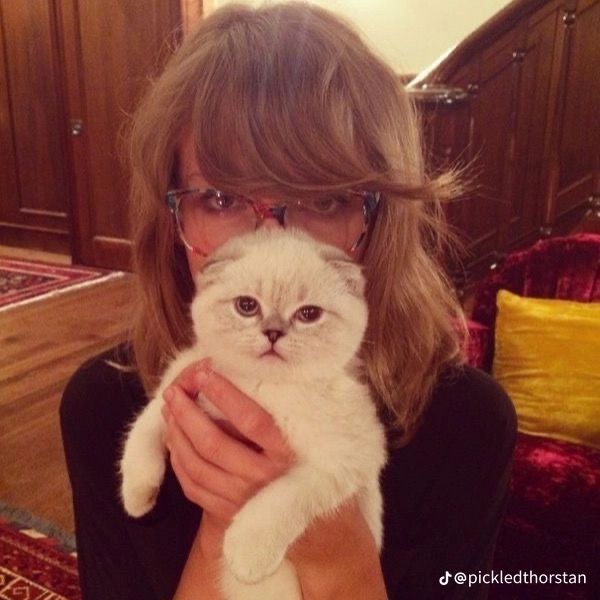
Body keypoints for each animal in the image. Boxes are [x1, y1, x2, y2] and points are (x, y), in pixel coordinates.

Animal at [119, 227, 386, 596]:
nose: (273, 333)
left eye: (309, 314)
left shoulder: (345, 459)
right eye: (246, 306)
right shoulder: (181, 384)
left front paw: (247, 553)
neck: (260, 387)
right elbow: (144, 426)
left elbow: (284, 498)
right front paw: (137, 496)